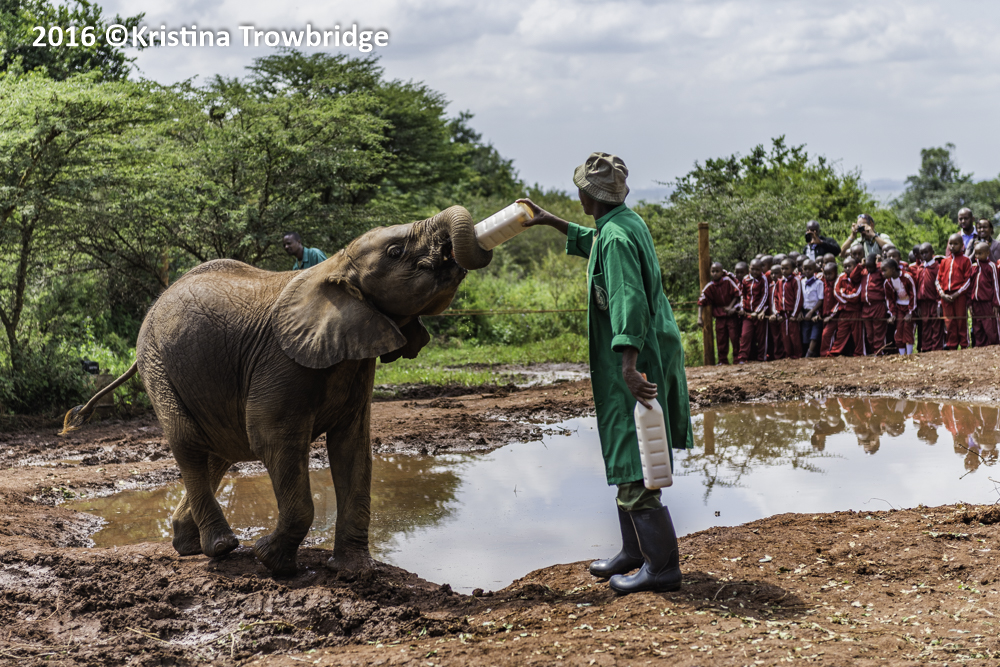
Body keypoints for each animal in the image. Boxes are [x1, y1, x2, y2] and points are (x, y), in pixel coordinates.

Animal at [62, 206, 492, 576]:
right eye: (396, 251)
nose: (456, 249)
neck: (334, 267)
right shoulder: (281, 361)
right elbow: (272, 438)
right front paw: (272, 561)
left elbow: (353, 447)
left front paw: (354, 571)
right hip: (157, 362)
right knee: (189, 442)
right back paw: (220, 547)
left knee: (218, 451)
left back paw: (189, 545)